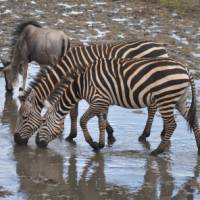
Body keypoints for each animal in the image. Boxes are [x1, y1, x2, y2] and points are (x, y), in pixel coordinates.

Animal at [13, 41, 169, 145]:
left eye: (24, 118)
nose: (16, 140)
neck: (69, 66)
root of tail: (160, 46)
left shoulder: (82, 84)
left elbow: (75, 112)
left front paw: (72, 135)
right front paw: (109, 133)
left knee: (153, 108)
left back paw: (145, 134)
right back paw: (161, 132)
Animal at [35, 57, 200, 155]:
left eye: (43, 123)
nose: (37, 143)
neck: (81, 86)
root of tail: (185, 68)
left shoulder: (98, 100)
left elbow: (83, 120)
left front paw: (93, 144)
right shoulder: (103, 102)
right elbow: (101, 123)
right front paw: (101, 144)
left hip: (165, 98)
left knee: (172, 124)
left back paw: (157, 151)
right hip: (179, 99)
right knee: (193, 120)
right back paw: (198, 148)